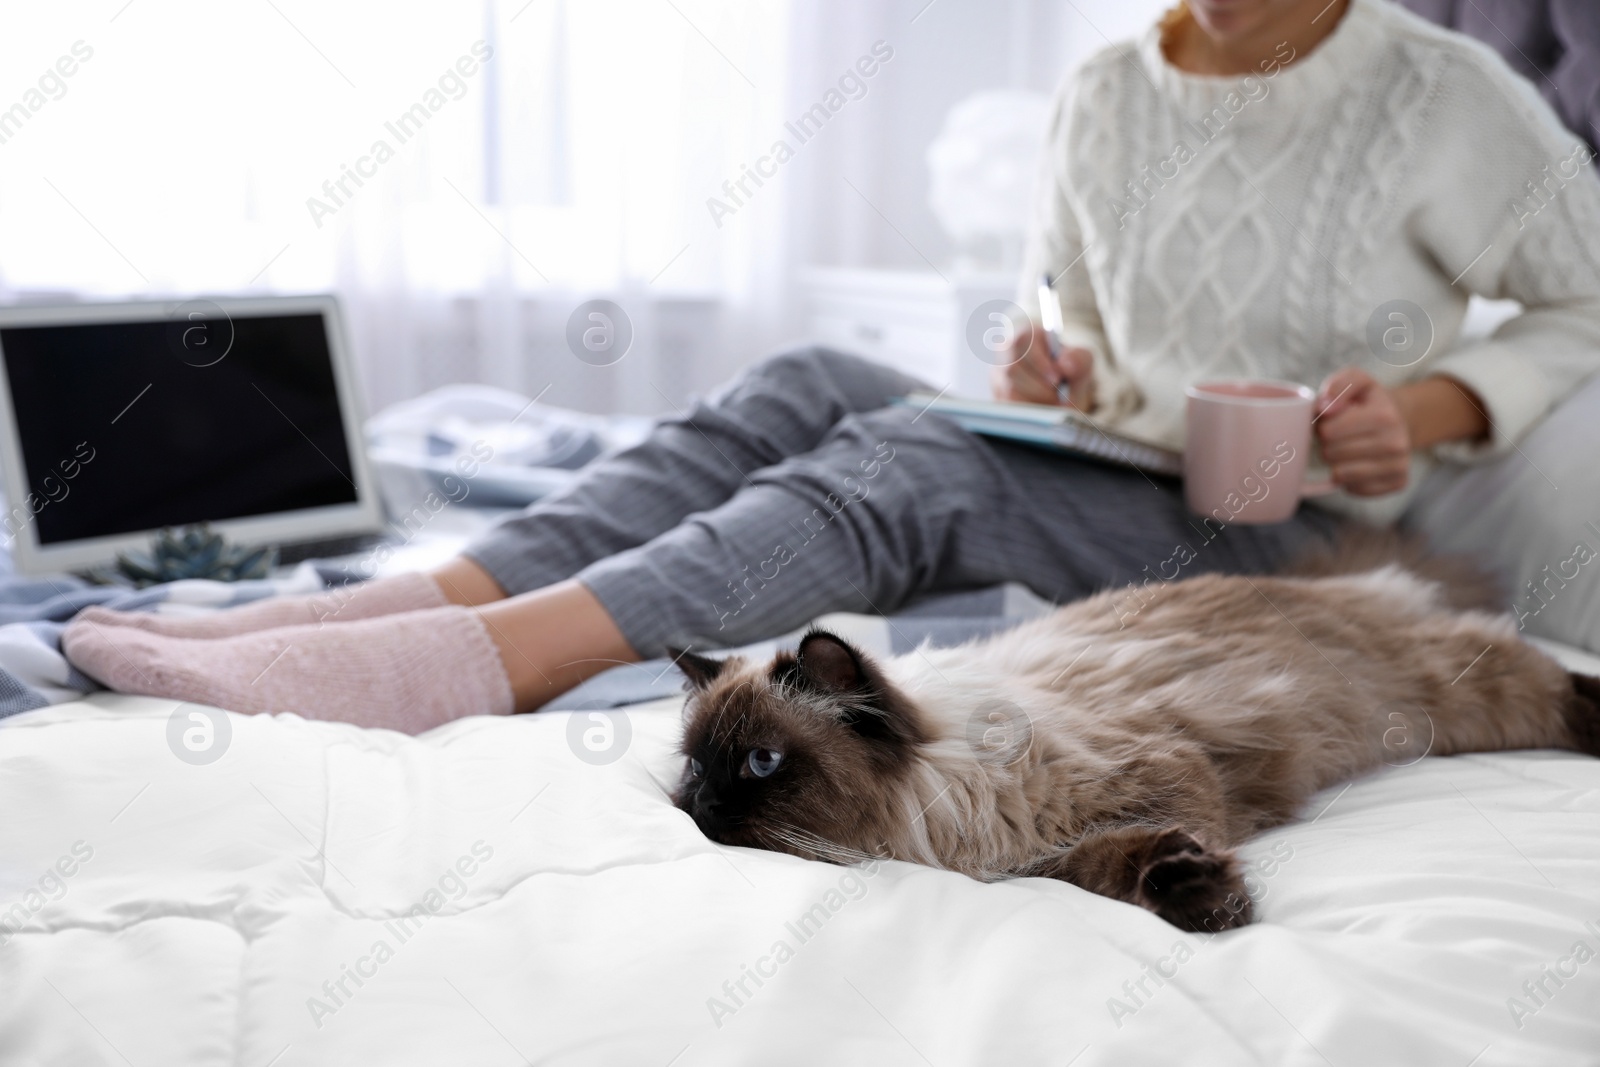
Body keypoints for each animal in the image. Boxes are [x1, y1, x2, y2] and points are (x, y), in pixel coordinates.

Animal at [665, 537, 1600, 927]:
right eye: (694, 770)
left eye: (760, 762)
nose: (697, 808)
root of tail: (1344, 580)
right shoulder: (1051, 854)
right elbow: (1108, 866)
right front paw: (1197, 895)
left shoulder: (1164, 771)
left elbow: (1154, 839)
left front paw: (1211, 899)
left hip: (1454, 703)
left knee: (1550, 678)